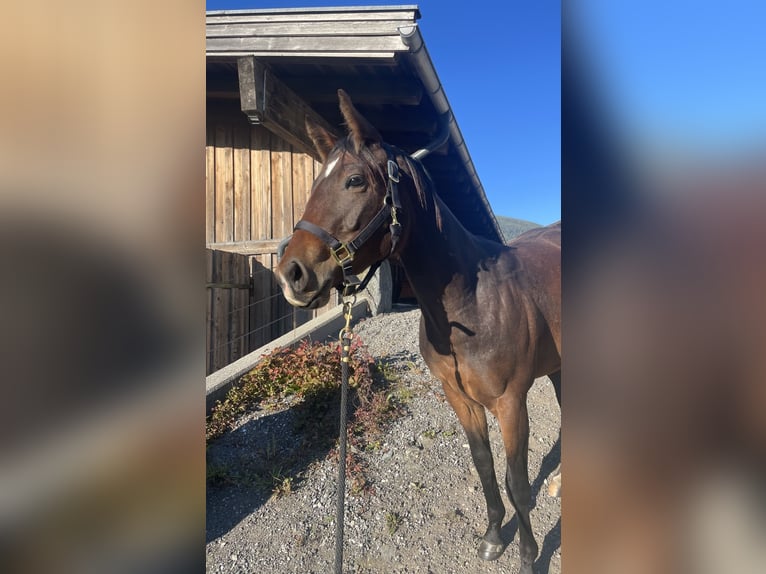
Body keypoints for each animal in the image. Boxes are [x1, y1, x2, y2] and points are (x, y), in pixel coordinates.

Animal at [276, 90, 561, 574]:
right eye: (314, 181)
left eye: (355, 180)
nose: (291, 273)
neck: (472, 304)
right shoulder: (459, 397)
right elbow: (485, 465)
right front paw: (493, 537)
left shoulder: (511, 403)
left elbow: (519, 483)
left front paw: (527, 556)